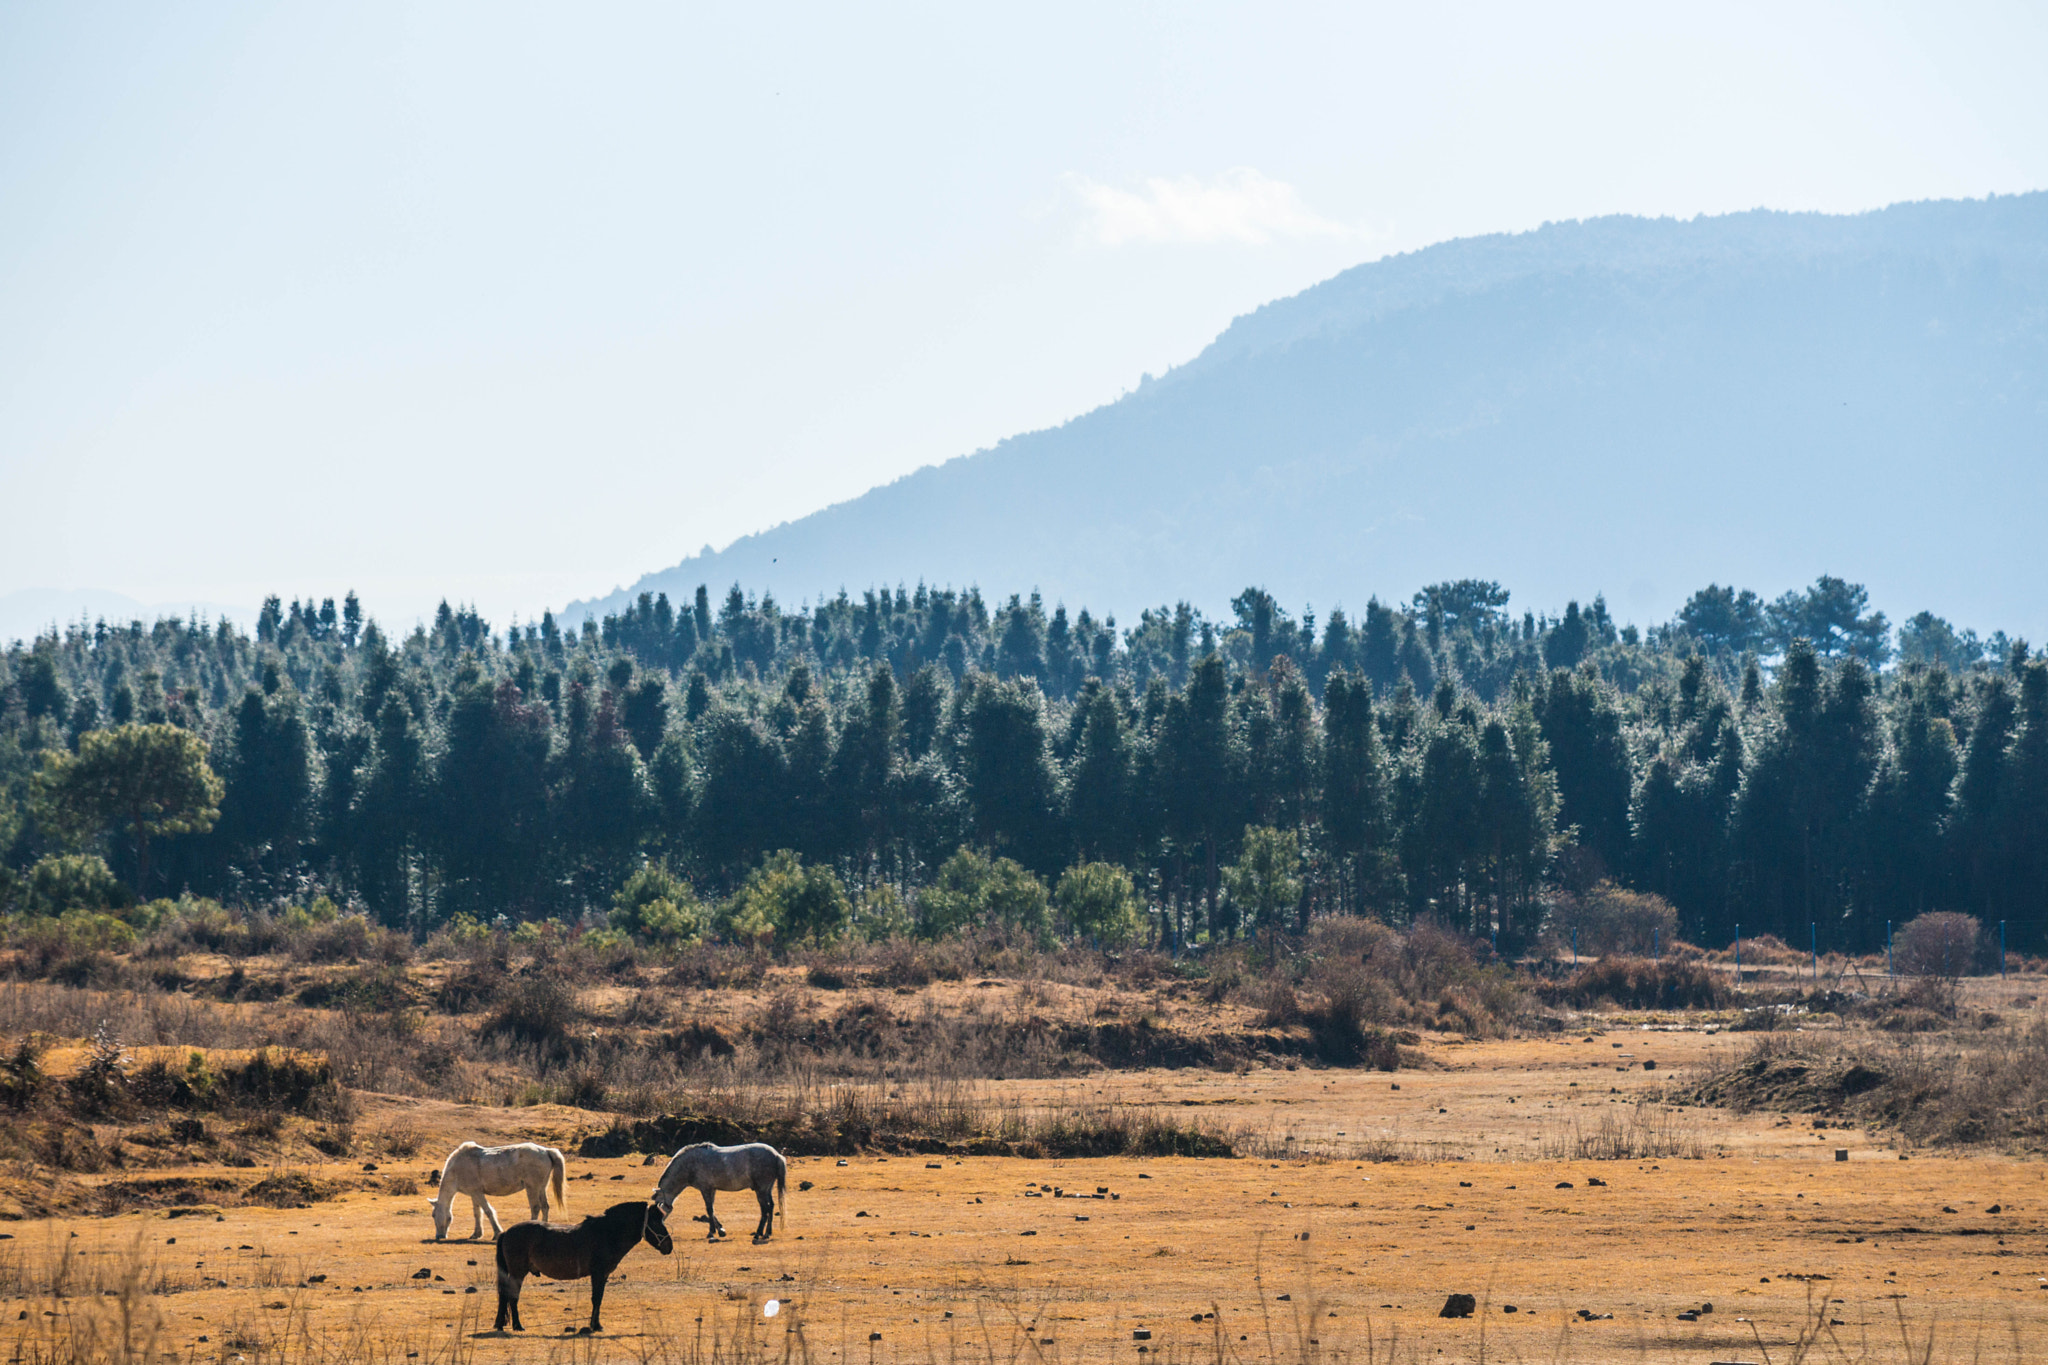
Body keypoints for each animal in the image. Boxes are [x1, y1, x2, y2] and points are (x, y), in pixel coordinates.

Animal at [428, 1137, 565, 1244]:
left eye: (433, 1215)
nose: (439, 1236)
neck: (457, 1168)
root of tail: (546, 1151)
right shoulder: (474, 1193)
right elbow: (477, 1213)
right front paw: (476, 1234)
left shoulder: (477, 1193)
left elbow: (488, 1211)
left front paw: (497, 1233)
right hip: (541, 1188)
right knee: (545, 1207)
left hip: (532, 1188)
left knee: (535, 1207)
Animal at [493, 1203, 671, 1326]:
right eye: (656, 1222)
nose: (669, 1246)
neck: (607, 1233)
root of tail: (506, 1232)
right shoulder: (598, 1274)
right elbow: (596, 1299)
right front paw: (595, 1326)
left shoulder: (602, 1275)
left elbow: (599, 1298)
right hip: (518, 1273)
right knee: (512, 1296)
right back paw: (518, 1326)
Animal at [651, 1137, 786, 1244]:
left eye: (658, 1208)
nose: (658, 1232)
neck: (690, 1164)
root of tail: (776, 1155)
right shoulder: (712, 1189)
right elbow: (712, 1210)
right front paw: (721, 1230)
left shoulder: (705, 1189)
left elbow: (709, 1209)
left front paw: (711, 1232)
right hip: (767, 1189)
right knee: (771, 1207)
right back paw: (767, 1233)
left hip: (761, 1191)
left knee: (765, 1210)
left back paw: (758, 1233)